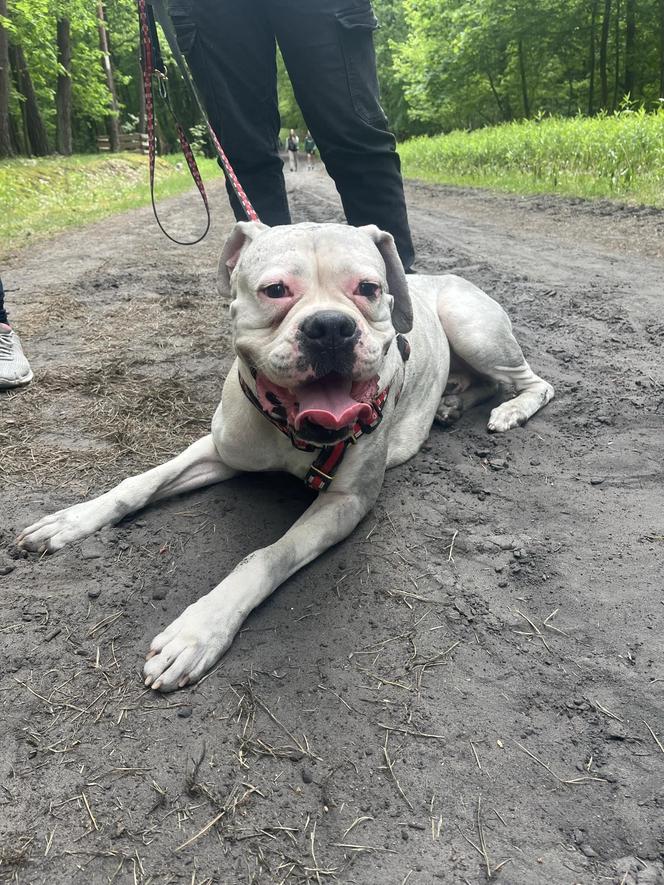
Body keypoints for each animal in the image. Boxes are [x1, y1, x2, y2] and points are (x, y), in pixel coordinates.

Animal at [16, 221, 556, 692]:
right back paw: (451, 404)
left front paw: (199, 630)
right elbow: (139, 483)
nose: (331, 327)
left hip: (473, 329)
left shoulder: (344, 503)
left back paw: (510, 411)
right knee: (481, 382)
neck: (294, 432)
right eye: (275, 290)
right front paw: (71, 520)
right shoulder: (219, 450)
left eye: (368, 288)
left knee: (533, 383)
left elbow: (268, 555)